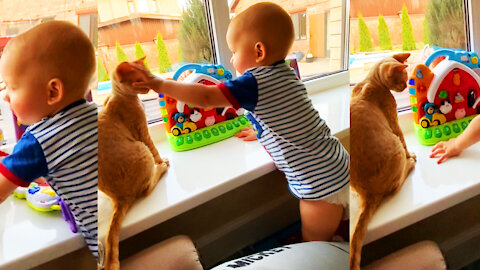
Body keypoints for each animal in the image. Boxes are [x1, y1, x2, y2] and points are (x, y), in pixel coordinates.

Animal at [97, 59, 169, 270]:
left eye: (148, 75)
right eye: (139, 81)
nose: (151, 86)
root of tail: (119, 197)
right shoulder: (142, 132)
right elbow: (155, 150)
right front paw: (161, 161)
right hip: (141, 151)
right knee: (146, 189)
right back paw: (161, 168)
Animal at [348, 53, 416, 270]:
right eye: (402, 79)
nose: (405, 86)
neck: (369, 82)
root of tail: (367, 194)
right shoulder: (393, 121)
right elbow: (404, 140)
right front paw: (411, 155)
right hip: (395, 148)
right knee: (396, 185)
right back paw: (410, 163)